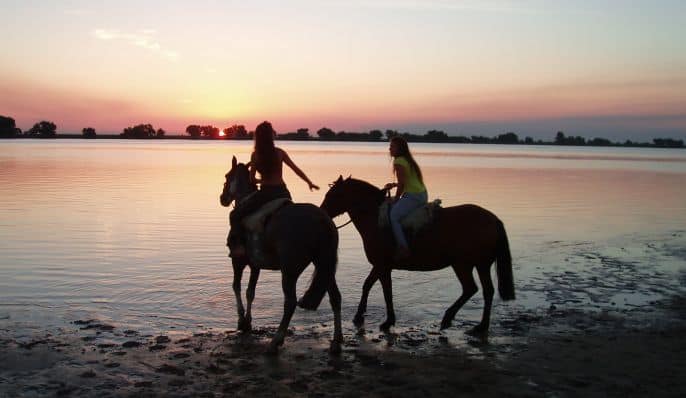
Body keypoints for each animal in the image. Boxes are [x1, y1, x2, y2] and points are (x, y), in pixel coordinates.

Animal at [220, 157, 344, 352]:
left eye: (227, 176)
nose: (222, 198)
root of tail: (322, 220)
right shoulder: (255, 265)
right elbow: (250, 292)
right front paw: (248, 322)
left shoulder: (238, 262)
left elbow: (237, 287)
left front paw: (241, 321)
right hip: (325, 266)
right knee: (335, 298)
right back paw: (336, 341)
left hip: (290, 270)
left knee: (290, 302)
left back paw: (276, 341)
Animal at [322, 176, 516, 334]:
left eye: (333, 195)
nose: (321, 212)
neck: (376, 219)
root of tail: (493, 219)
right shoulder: (382, 267)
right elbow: (376, 287)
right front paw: (371, 317)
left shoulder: (382, 265)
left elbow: (378, 289)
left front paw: (378, 319)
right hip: (480, 265)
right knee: (487, 291)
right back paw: (481, 326)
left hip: (463, 265)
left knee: (471, 288)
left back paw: (449, 319)